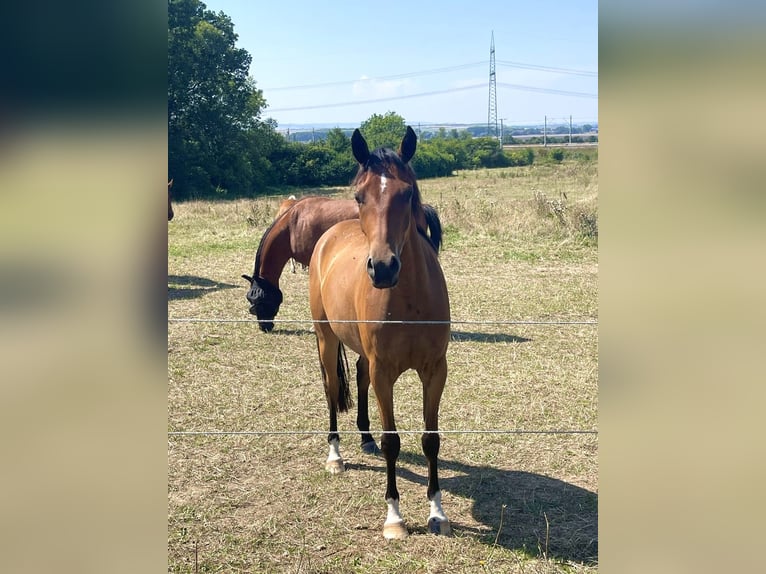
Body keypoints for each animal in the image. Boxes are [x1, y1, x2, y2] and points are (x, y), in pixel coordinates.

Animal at [310, 128, 452, 544]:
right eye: (360, 196)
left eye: (406, 194)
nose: (384, 268)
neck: (410, 300)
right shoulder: (384, 373)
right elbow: (394, 441)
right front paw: (394, 518)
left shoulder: (435, 370)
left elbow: (430, 438)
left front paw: (437, 513)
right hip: (326, 339)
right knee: (330, 387)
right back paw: (336, 456)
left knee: (357, 375)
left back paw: (365, 438)